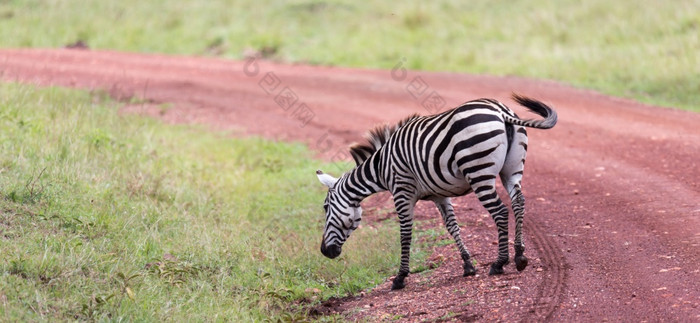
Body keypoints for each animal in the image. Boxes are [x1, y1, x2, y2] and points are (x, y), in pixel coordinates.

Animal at [318, 94, 556, 292]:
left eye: (325, 208)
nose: (324, 252)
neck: (381, 167)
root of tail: (501, 111)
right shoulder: (439, 194)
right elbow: (452, 226)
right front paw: (468, 265)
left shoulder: (402, 191)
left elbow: (405, 233)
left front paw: (400, 277)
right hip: (512, 170)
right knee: (518, 203)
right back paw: (520, 256)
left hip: (479, 171)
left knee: (500, 212)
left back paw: (500, 263)